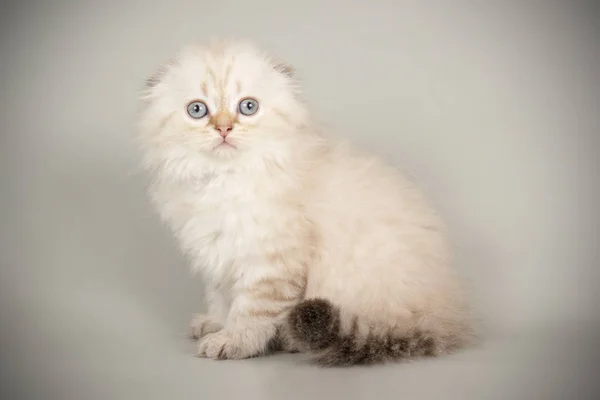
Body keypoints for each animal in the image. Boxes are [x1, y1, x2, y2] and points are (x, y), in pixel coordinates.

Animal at [136, 38, 474, 366]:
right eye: (197, 110)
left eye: (248, 107)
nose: (223, 128)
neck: (225, 180)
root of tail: (445, 317)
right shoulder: (219, 254)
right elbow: (221, 297)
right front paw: (215, 323)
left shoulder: (270, 263)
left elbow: (251, 311)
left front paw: (233, 341)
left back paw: (290, 340)